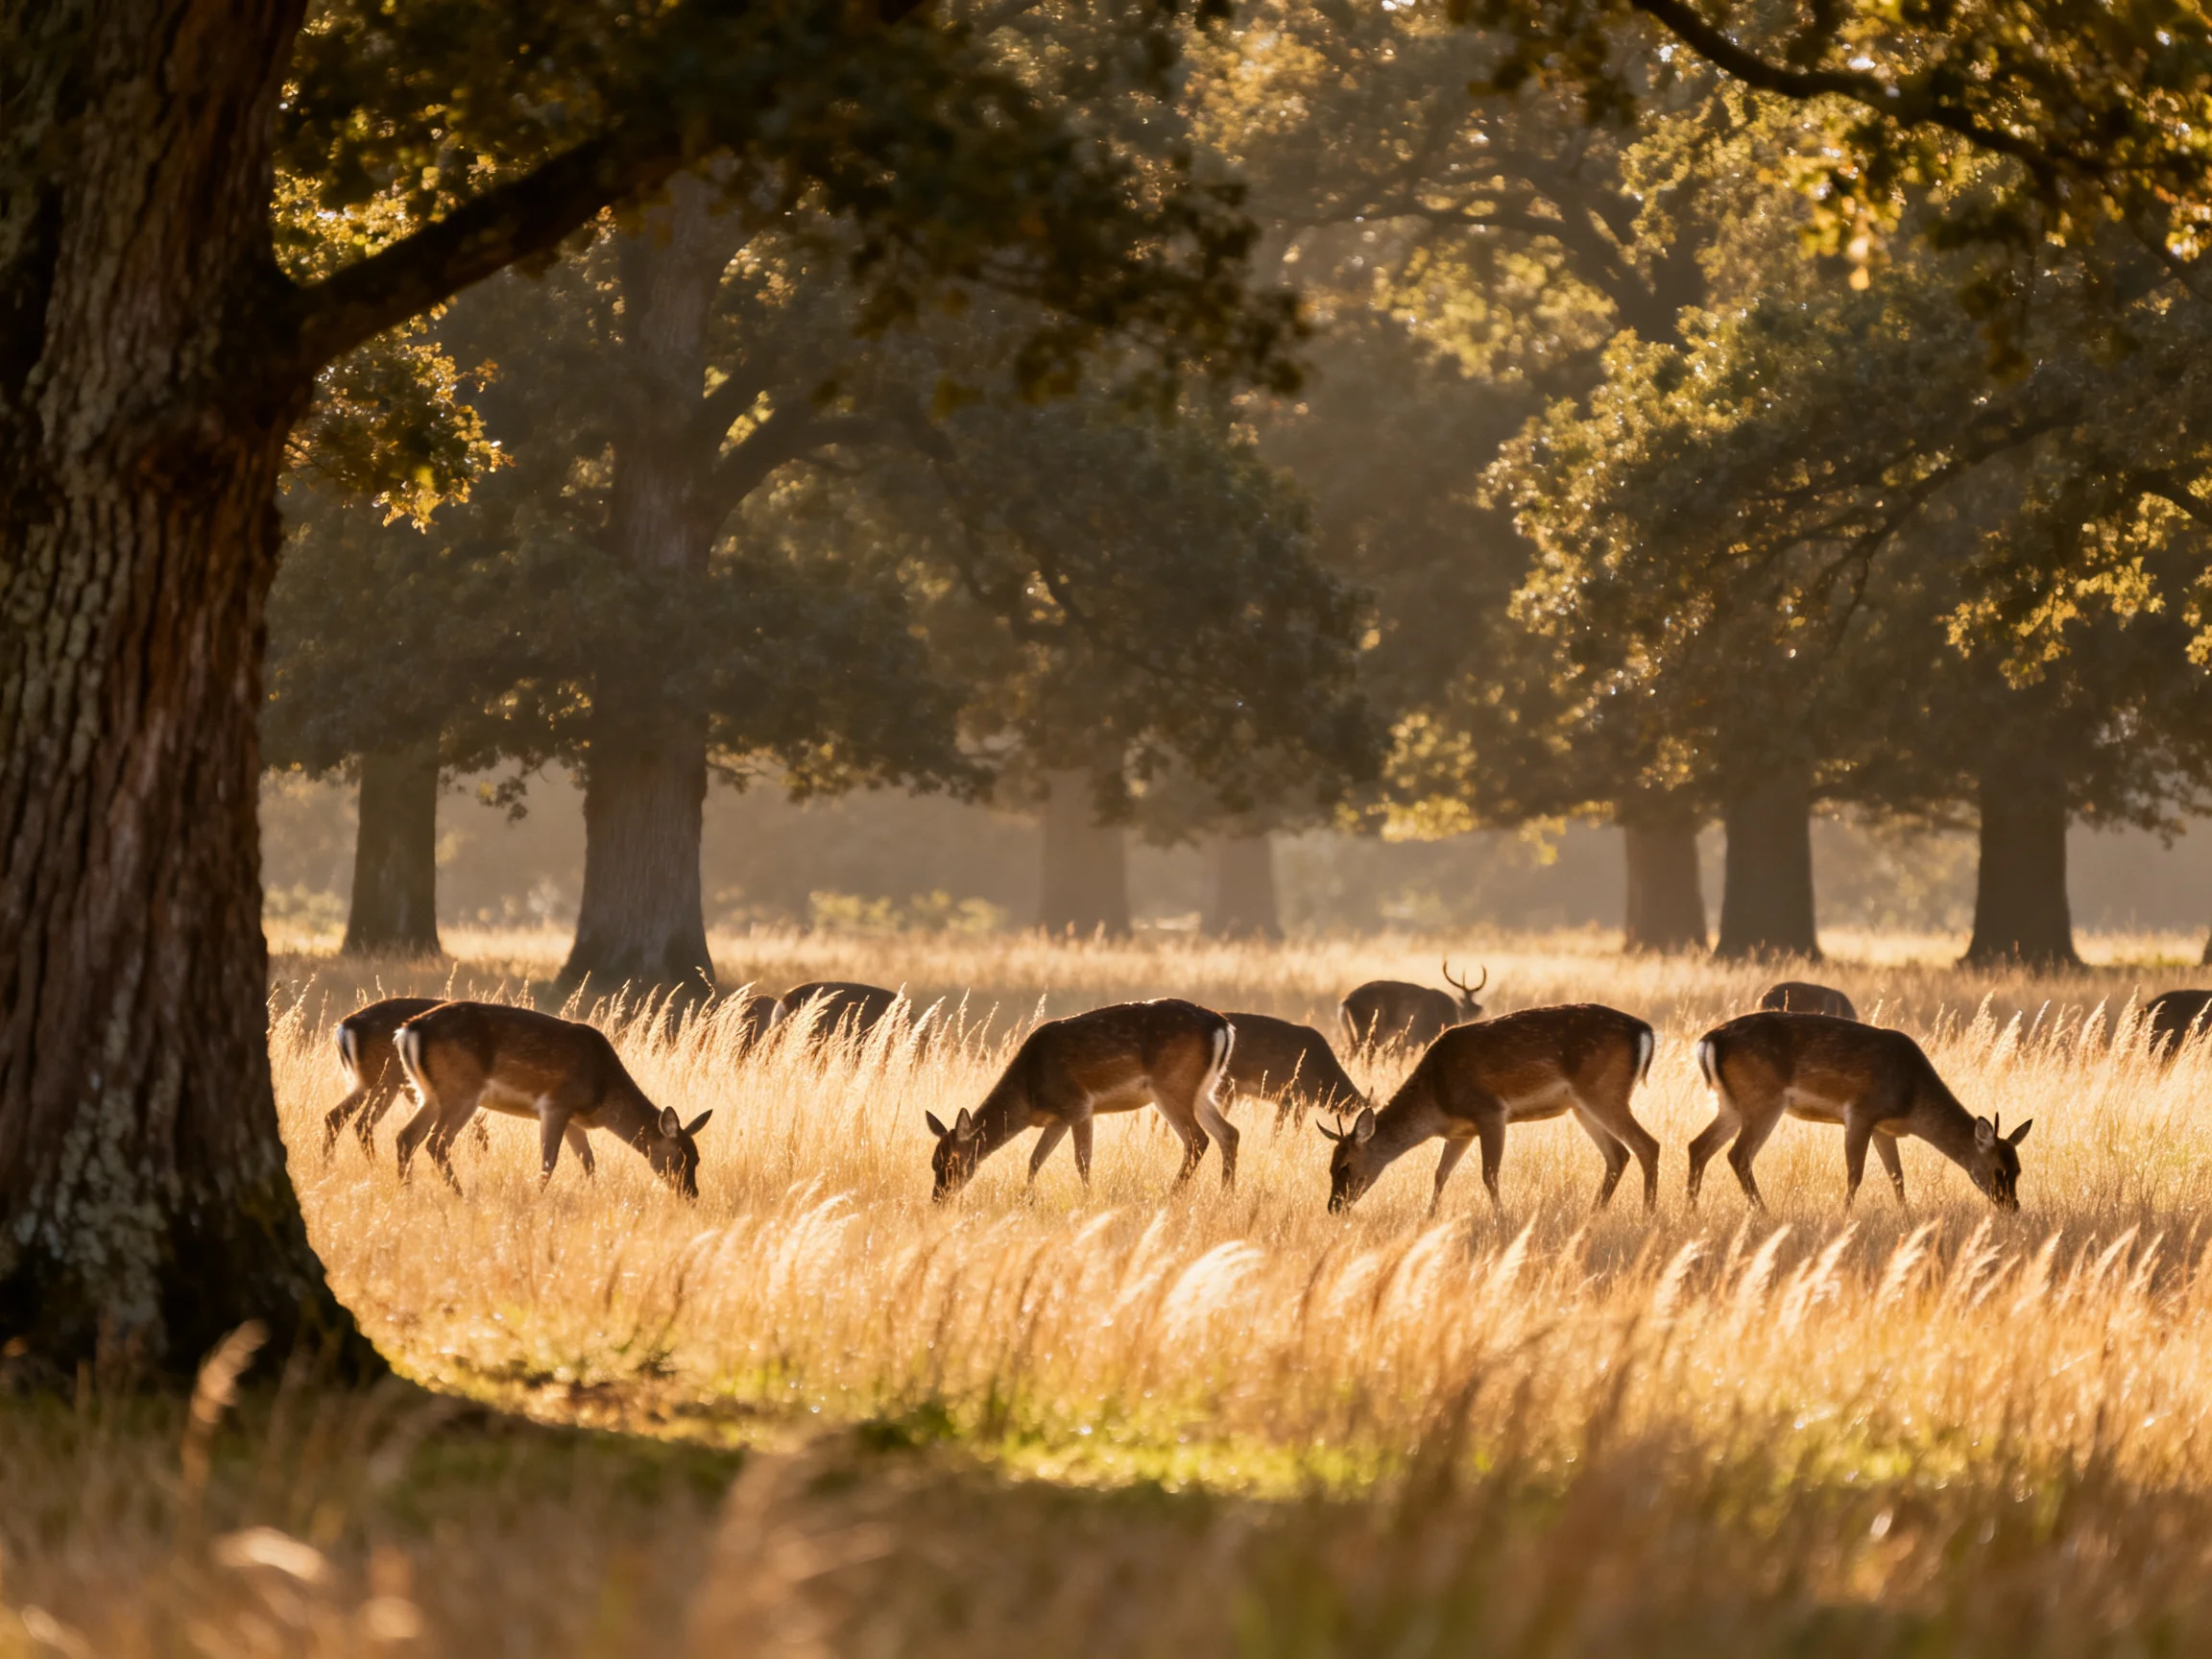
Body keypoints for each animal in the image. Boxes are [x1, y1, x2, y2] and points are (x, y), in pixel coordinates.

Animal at [391, 1001, 712, 1198]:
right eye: (682, 1158)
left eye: (697, 1158)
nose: (692, 1194)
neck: (602, 1094)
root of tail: (408, 1030)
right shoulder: (556, 1104)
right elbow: (549, 1161)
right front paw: (539, 1197)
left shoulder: (574, 1119)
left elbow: (588, 1161)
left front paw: (591, 1193)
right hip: (462, 1090)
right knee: (436, 1143)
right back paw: (461, 1196)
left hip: (429, 1093)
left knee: (406, 1137)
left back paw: (407, 1192)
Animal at [925, 999, 1234, 1201]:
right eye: (933, 1163)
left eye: (951, 1163)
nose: (938, 1198)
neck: (1028, 1094)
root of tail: (1222, 1025)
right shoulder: (1057, 1119)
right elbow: (1035, 1160)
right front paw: (1027, 1199)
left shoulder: (1079, 1105)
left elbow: (1082, 1161)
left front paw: (1087, 1199)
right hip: (1202, 1089)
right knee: (1229, 1133)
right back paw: (1226, 1195)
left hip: (1172, 1085)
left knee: (1198, 1139)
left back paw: (1172, 1195)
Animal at [1319, 1003, 1657, 1215]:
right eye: (1329, 1167)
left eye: (1345, 1166)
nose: (1333, 1207)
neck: (1436, 1100)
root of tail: (1646, 1032)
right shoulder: (1460, 1132)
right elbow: (1440, 1174)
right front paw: (1429, 1218)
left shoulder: (1490, 1111)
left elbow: (1489, 1174)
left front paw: (1501, 1217)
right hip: (1582, 1106)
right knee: (1618, 1154)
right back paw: (1595, 1212)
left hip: (1603, 1092)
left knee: (1647, 1145)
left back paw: (1648, 1214)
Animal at [1691, 1011, 2028, 1212]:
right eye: (1998, 1170)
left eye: (2018, 1170)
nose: (2013, 1206)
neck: (1911, 1100)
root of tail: (1710, 1040)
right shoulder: (1860, 1113)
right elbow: (1855, 1173)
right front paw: (1846, 1216)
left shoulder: (1883, 1129)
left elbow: (1897, 1176)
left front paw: (1906, 1217)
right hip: (1762, 1100)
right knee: (1738, 1154)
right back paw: (1763, 1213)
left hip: (1730, 1103)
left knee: (1698, 1146)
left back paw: (1691, 1210)